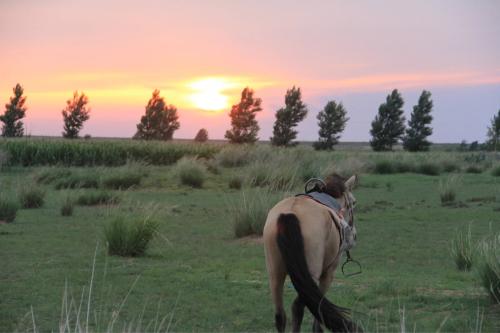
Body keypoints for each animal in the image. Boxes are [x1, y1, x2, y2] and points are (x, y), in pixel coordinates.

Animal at [262, 172, 360, 330]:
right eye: (354, 202)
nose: (354, 234)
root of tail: (289, 213)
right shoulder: (328, 274)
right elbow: (318, 310)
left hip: (275, 274)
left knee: (280, 315)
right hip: (311, 274)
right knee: (299, 306)